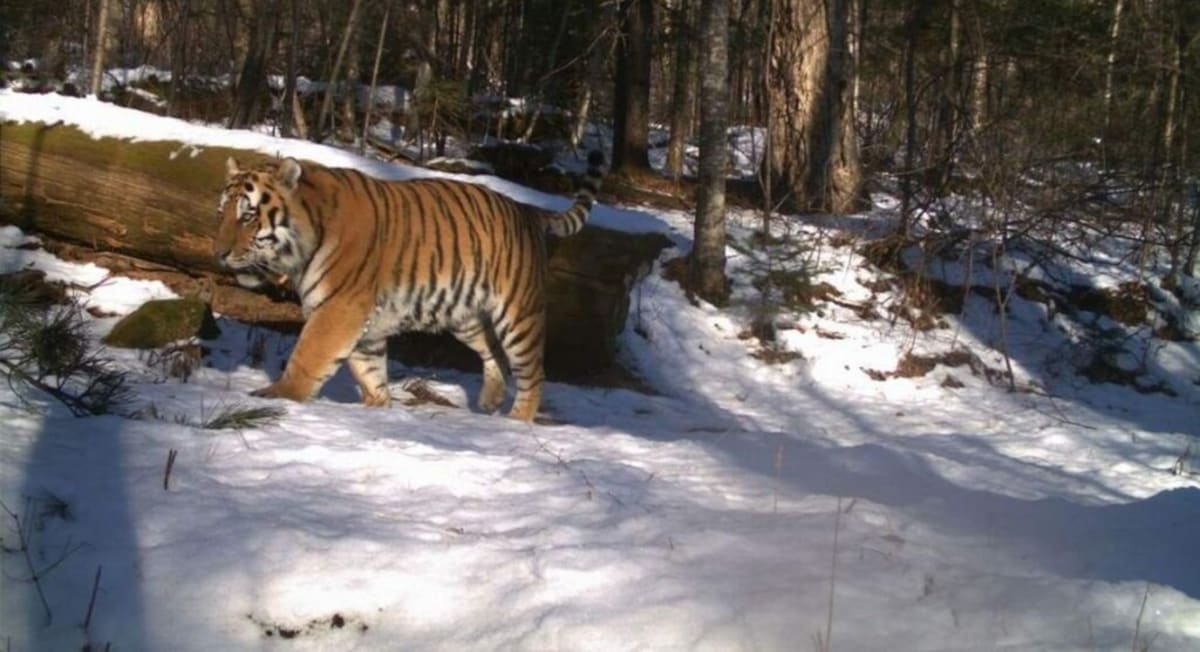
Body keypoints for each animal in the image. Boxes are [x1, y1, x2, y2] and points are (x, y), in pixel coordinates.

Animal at [213, 151, 605, 422]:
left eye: (248, 216)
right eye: (221, 214)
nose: (218, 253)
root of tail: (526, 209)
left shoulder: (339, 308)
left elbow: (307, 356)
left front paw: (278, 395)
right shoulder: (363, 323)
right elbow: (369, 371)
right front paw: (378, 408)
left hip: (518, 313)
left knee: (533, 371)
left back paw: (516, 421)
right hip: (465, 317)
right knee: (493, 352)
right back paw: (489, 401)